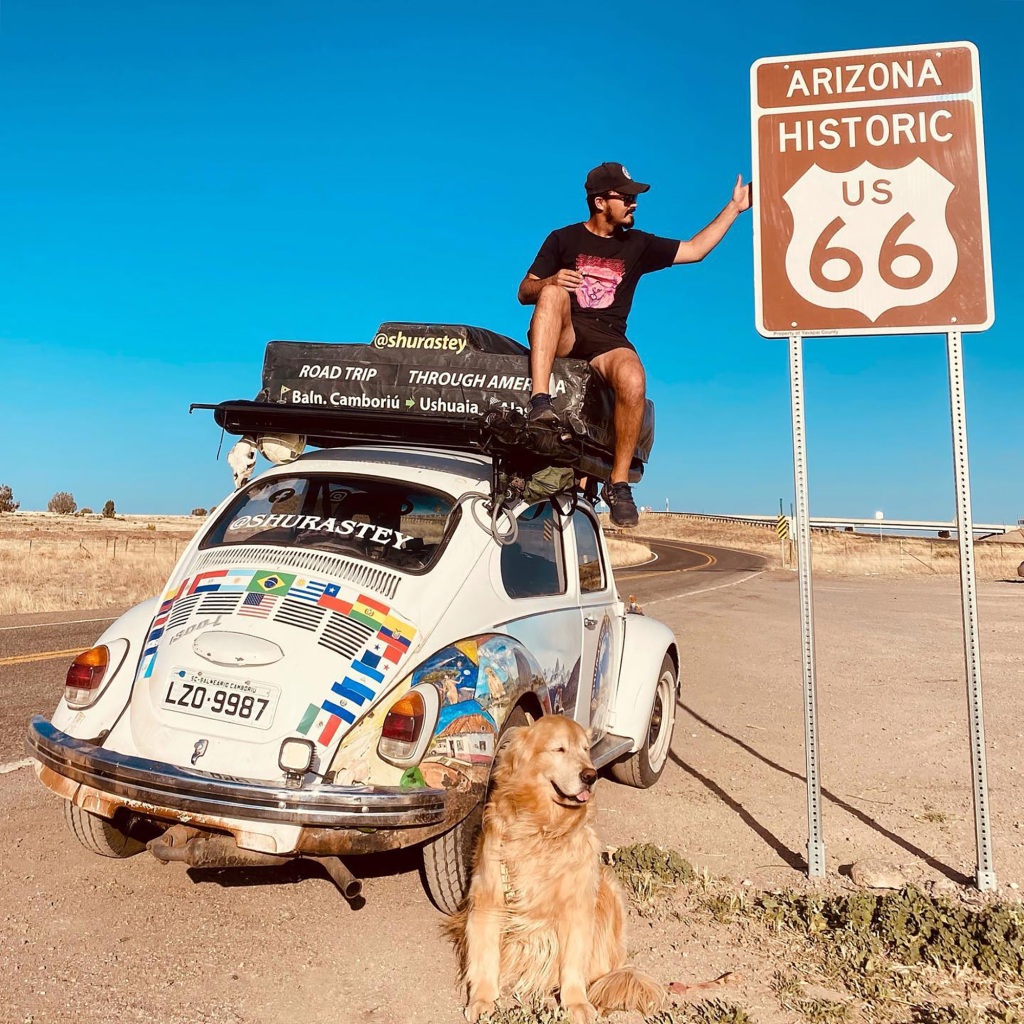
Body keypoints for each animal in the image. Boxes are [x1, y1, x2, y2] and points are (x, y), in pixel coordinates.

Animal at [452, 716, 667, 1024]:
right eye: (560, 749)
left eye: (586, 750)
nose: (591, 775)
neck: (542, 827)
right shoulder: (489, 898)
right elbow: (485, 955)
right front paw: (483, 999)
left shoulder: (577, 904)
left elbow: (574, 961)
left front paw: (576, 1002)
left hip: (608, 888)